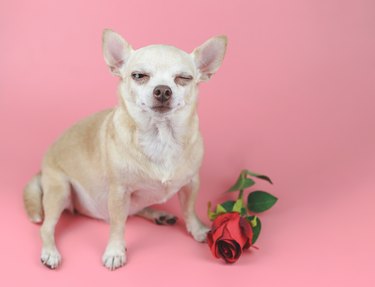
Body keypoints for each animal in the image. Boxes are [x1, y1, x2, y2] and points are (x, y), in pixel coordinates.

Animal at [24, 29, 229, 270]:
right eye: (139, 76)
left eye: (183, 78)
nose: (162, 90)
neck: (161, 137)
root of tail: (41, 170)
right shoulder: (119, 193)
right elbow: (118, 225)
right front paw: (115, 251)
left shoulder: (191, 183)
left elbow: (189, 210)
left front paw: (197, 230)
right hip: (60, 190)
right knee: (46, 228)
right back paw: (50, 252)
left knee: (137, 209)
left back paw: (159, 215)